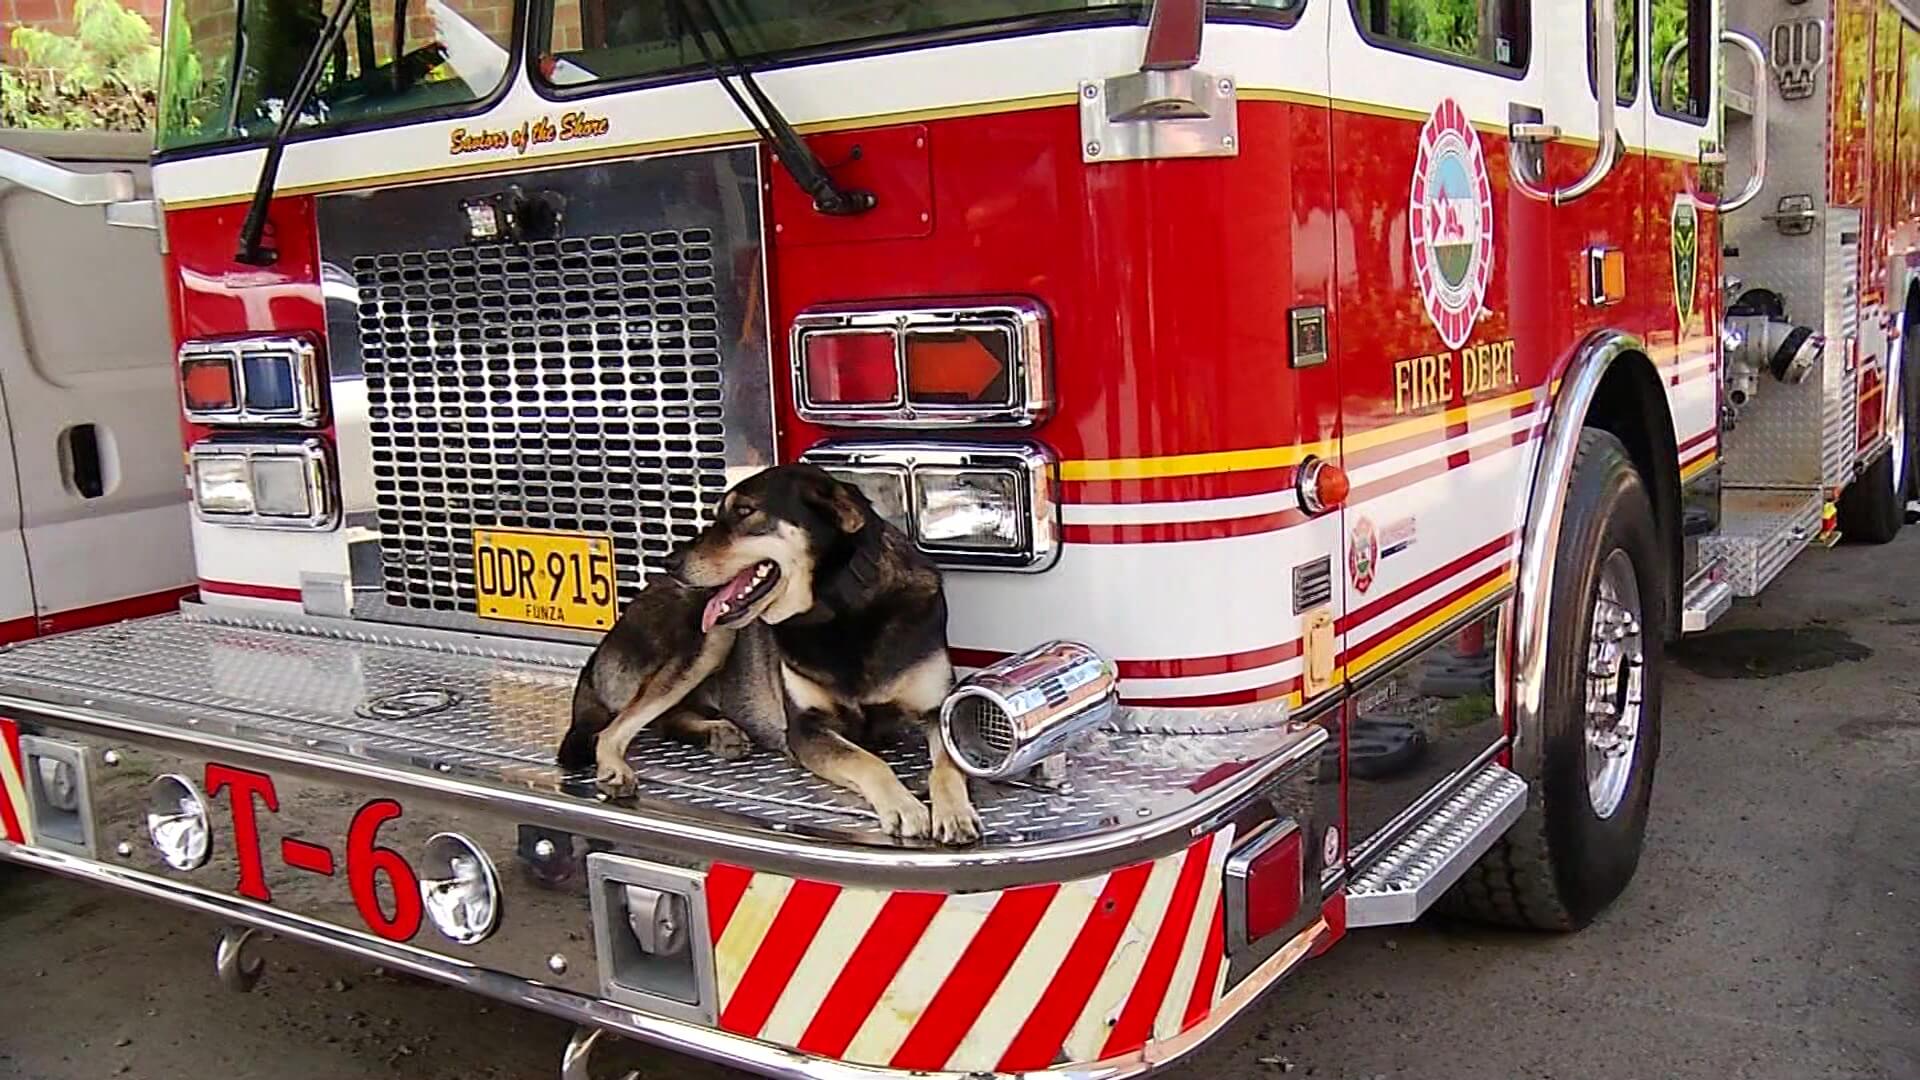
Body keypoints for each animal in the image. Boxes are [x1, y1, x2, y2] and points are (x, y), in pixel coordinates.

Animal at [552, 463, 975, 841]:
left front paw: (954, 812)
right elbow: (868, 761)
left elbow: (947, 766)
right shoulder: (805, 730)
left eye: (744, 512)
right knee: (612, 730)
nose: (669, 562)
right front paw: (903, 807)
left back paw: (717, 731)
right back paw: (618, 768)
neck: (839, 607)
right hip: (710, 640)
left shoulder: (938, 712)